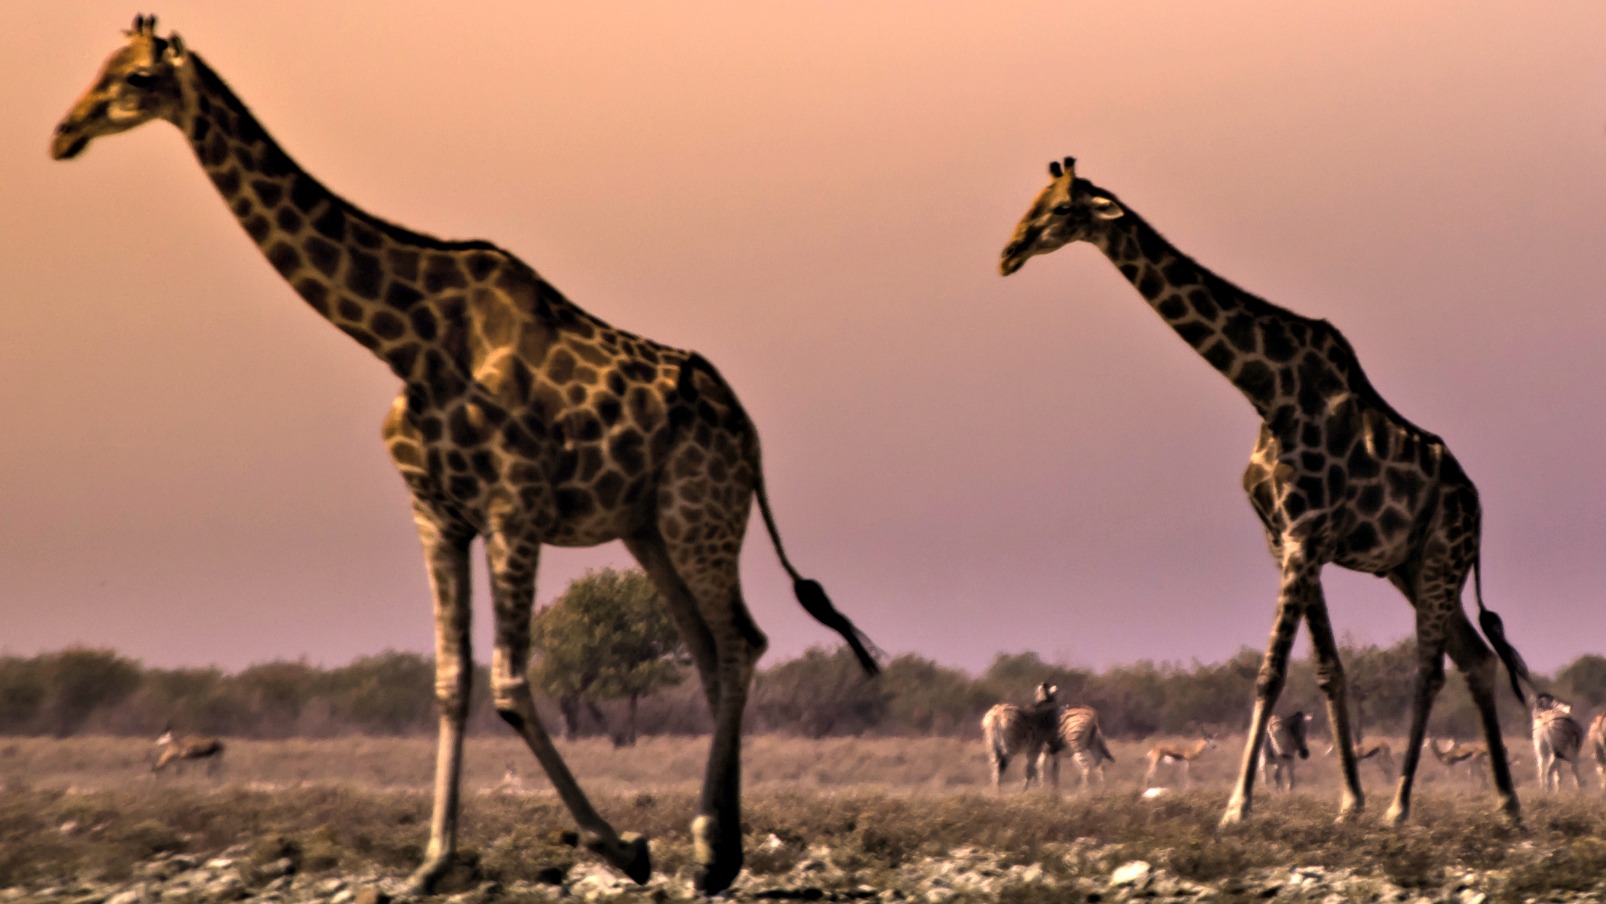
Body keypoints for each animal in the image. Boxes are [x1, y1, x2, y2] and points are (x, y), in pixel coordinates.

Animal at [53, 17, 880, 892]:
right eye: (102, 66)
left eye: (137, 78)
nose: (64, 133)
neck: (406, 339)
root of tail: (749, 434)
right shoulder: (436, 513)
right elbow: (451, 682)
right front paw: (431, 864)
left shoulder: (514, 507)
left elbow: (512, 684)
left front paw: (622, 847)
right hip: (646, 527)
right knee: (711, 649)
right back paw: (718, 847)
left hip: (701, 511)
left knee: (740, 642)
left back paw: (708, 848)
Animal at [995, 155, 1535, 828]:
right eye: (1036, 199)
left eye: (1065, 209)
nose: (1009, 253)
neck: (1266, 390)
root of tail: (1478, 508)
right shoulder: (1286, 541)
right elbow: (1329, 670)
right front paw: (1349, 801)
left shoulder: (1305, 536)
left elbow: (1270, 673)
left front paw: (1238, 805)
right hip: (1410, 568)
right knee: (1476, 659)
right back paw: (1507, 804)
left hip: (1440, 558)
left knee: (1430, 669)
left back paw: (1402, 807)